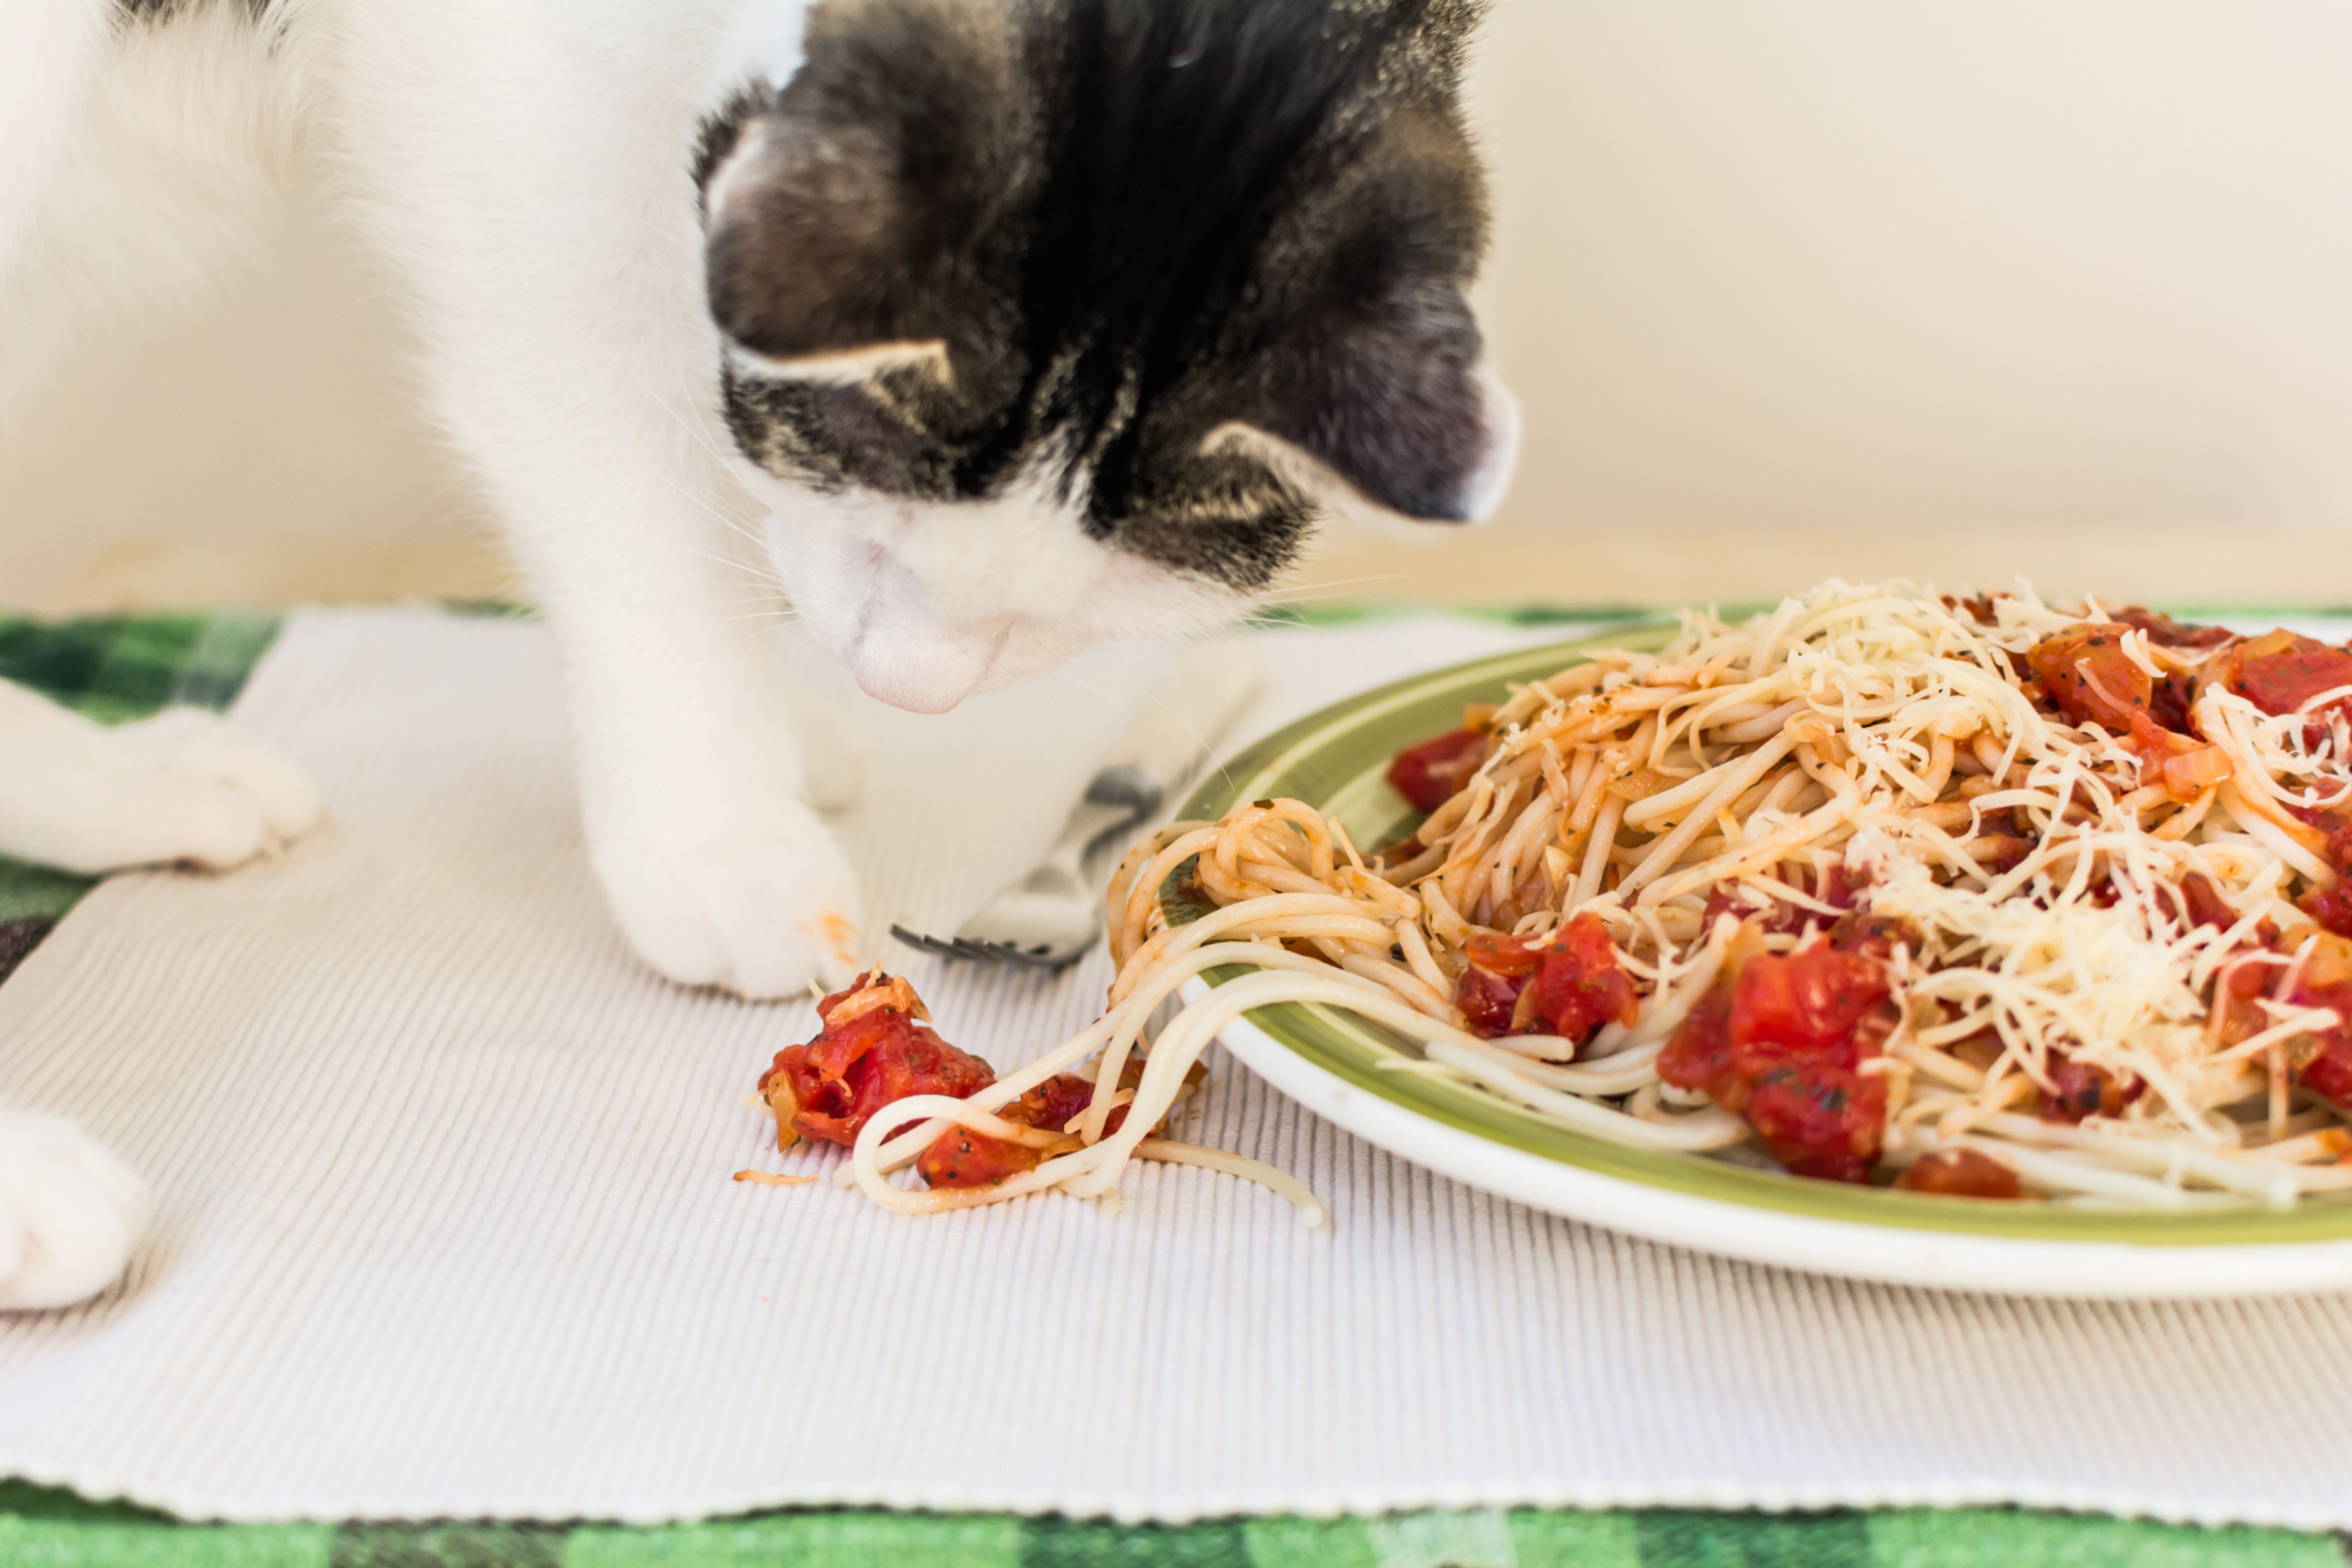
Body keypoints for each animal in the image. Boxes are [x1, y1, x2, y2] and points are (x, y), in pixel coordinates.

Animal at [0, 0, 1515, 1307]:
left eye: (1064, 608)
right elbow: (630, 460)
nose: (909, 685)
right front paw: (715, 835)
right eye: (868, 502)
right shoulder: (513, 121)